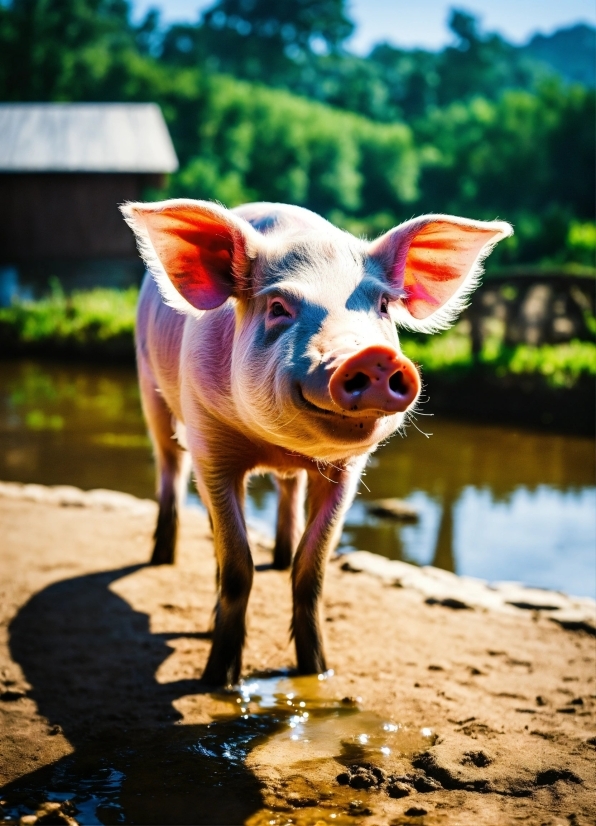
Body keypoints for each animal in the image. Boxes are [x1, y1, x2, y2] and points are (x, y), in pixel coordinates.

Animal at [122, 198, 512, 684]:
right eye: (278, 307)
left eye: (383, 305)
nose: (372, 355)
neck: (276, 444)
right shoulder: (210, 444)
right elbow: (237, 564)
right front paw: (220, 679)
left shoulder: (347, 472)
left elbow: (312, 569)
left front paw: (317, 672)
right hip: (150, 388)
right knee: (170, 470)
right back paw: (162, 559)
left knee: (287, 492)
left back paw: (280, 557)